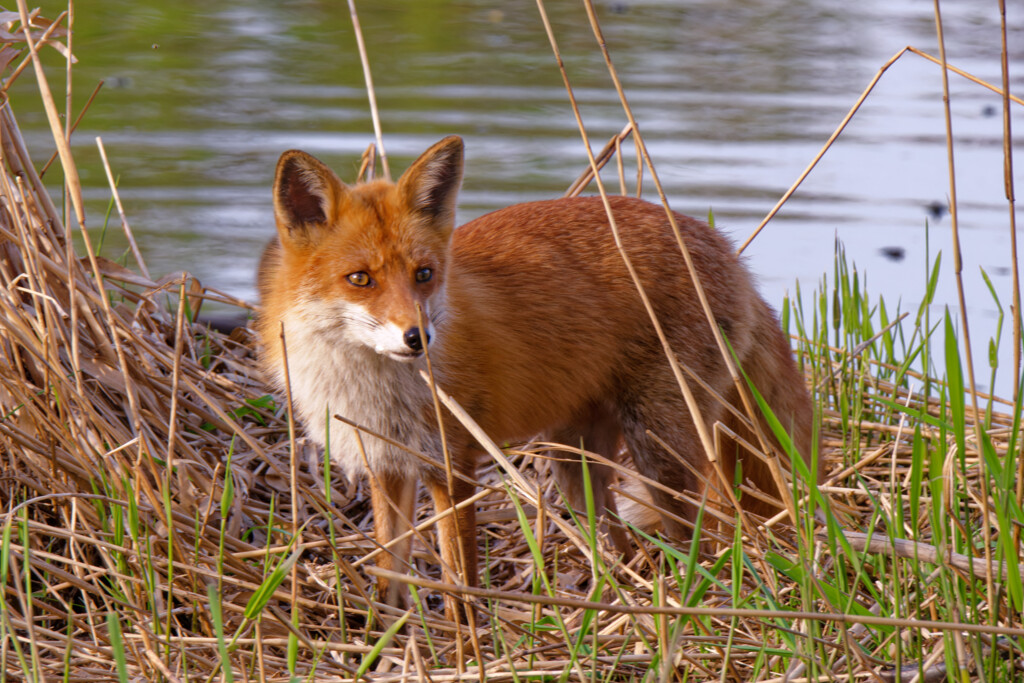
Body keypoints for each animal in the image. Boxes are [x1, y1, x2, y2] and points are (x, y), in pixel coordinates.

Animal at [260, 135, 819, 614]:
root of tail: (724, 246)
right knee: (615, 539)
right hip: (575, 464)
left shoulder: (453, 467)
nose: (418, 338)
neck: (370, 388)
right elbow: (387, 576)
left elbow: (462, 587)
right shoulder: (388, 467)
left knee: (701, 539)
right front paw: (389, 645)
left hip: (659, 450)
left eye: (424, 274)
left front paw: (467, 650)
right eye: (360, 279)